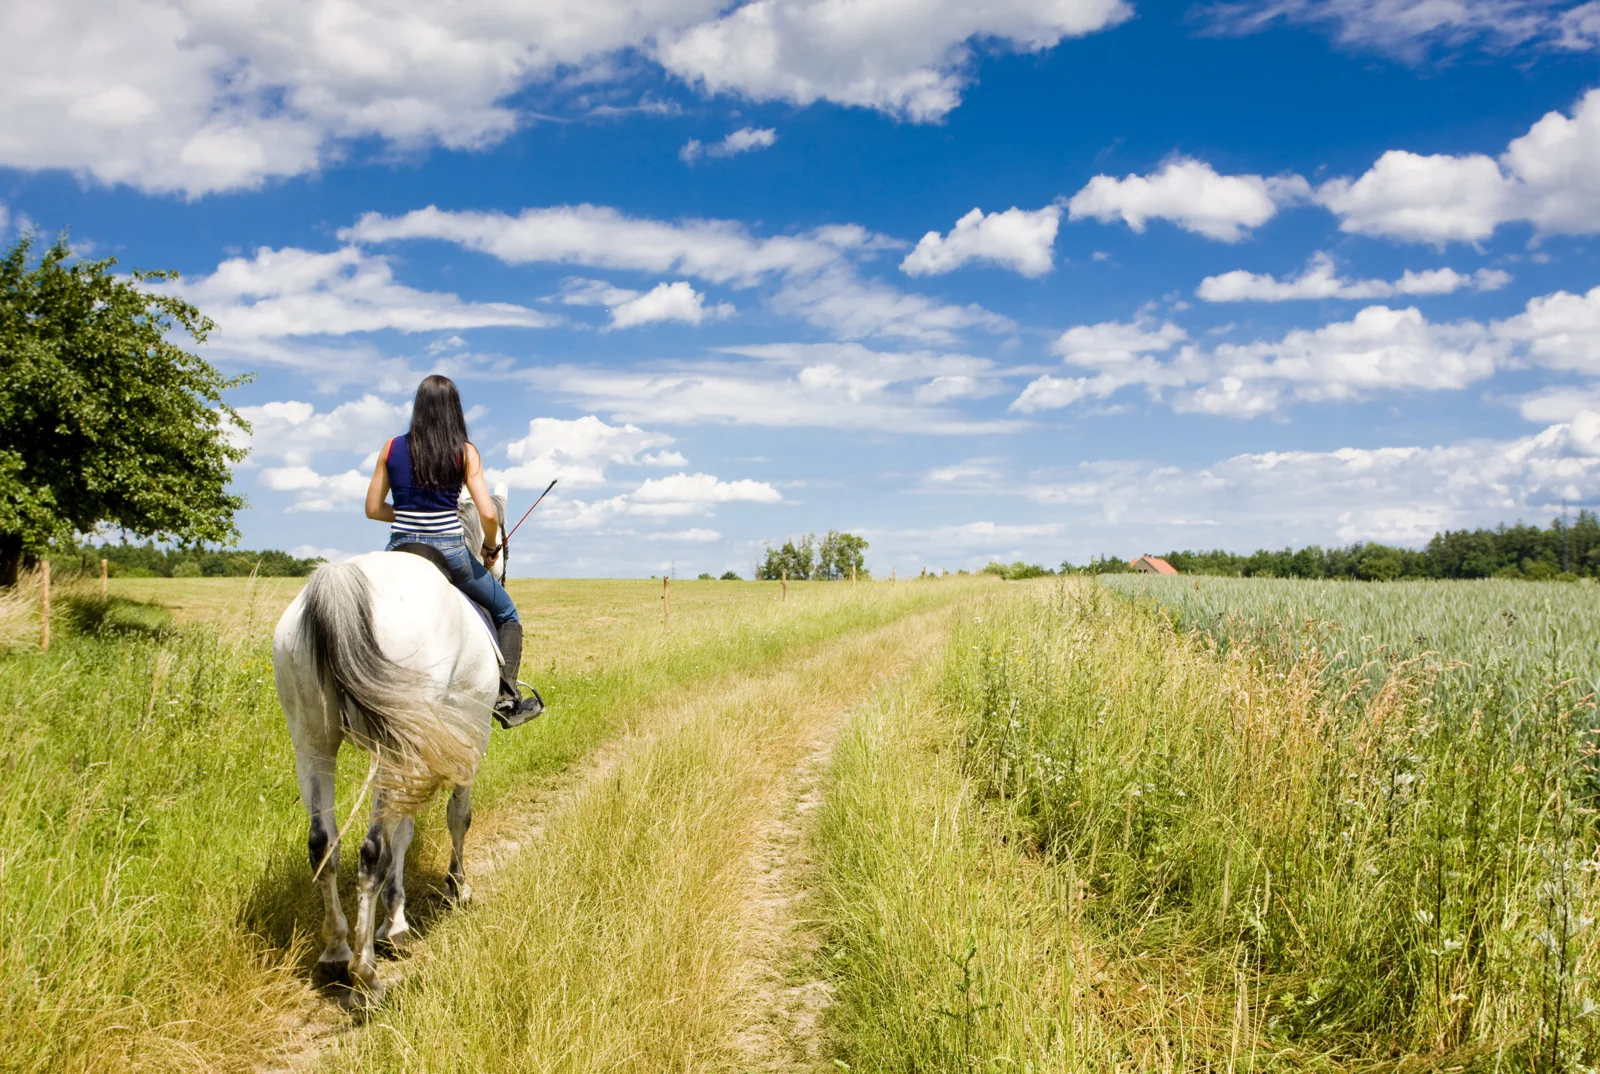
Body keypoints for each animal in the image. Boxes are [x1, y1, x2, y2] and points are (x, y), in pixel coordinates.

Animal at [272, 549, 499, 1006]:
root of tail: (340, 580)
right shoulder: (470, 741)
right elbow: (458, 818)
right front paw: (457, 887)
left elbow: (404, 836)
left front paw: (394, 923)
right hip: (396, 748)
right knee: (372, 852)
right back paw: (366, 976)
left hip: (311, 740)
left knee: (323, 844)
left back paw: (337, 952)